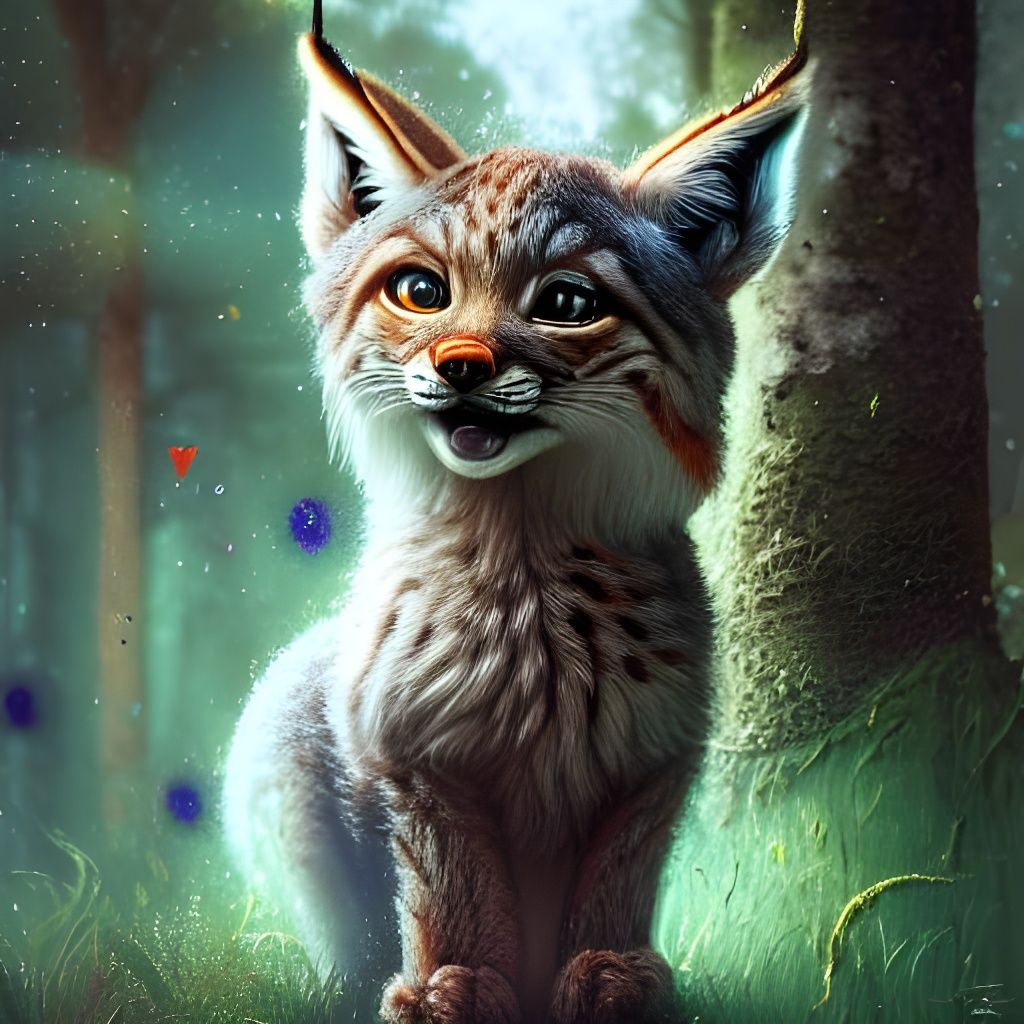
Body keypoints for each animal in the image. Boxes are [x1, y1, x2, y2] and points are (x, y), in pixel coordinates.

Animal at [223, 3, 808, 1021]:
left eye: (567, 302)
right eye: (422, 292)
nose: (460, 365)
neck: (523, 556)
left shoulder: (657, 758)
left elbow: (618, 876)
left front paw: (611, 976)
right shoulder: (411, 755)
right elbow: (454, 881)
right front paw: (453, 987)